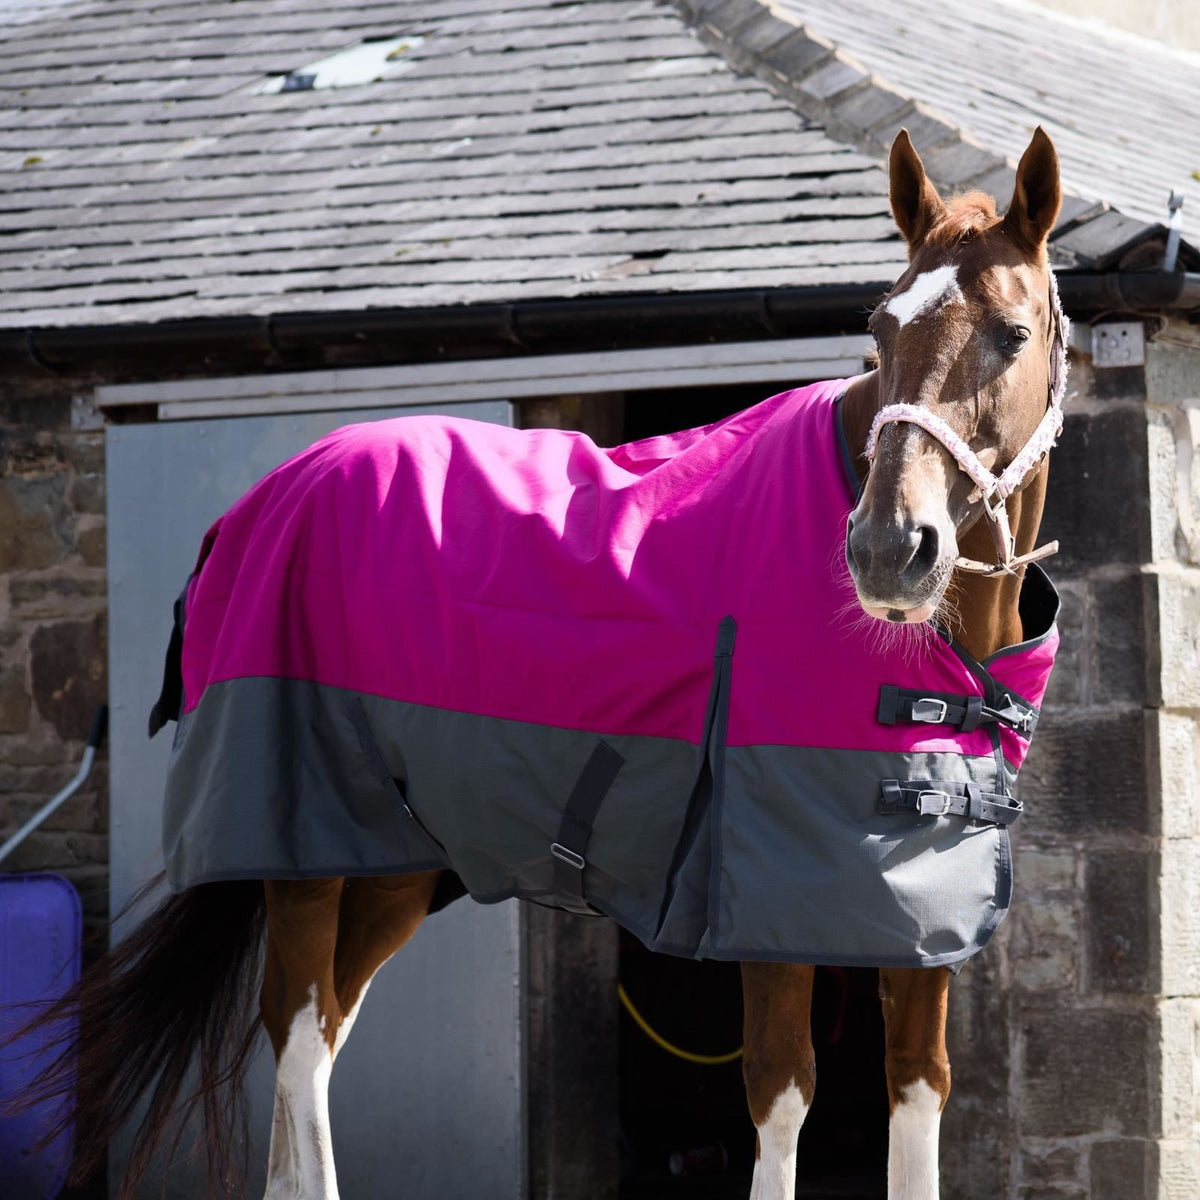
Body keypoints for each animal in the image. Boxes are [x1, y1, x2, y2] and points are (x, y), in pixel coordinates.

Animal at [13, 125, 1065, 1200]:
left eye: (1011, 336)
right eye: (879, 330)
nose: (891, 549)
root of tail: (267, 496)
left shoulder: (916, 921)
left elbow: (917, 1093)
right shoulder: (763, 906)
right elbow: (780, 1098)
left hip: (400, 862)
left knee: (324, 1024)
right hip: (305, 848)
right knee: (301, 1037)